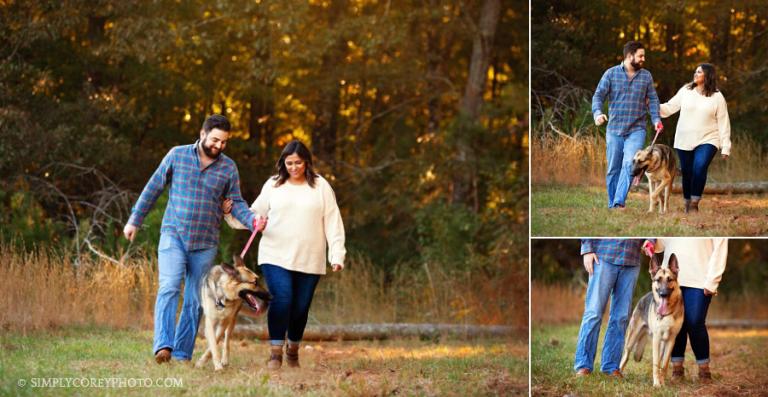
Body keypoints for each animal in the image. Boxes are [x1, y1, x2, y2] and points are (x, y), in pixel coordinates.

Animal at [620, 252, 680, 386]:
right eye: (658, 280)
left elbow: (664, 364)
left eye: (670, 279)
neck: (667, 313)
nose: (663, 294)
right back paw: (617, 373)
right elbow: (656, 364)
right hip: (631, 341)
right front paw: (657, 383)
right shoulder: (656, 339)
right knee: (625, 357)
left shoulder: (671, 341)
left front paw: (662, 382)